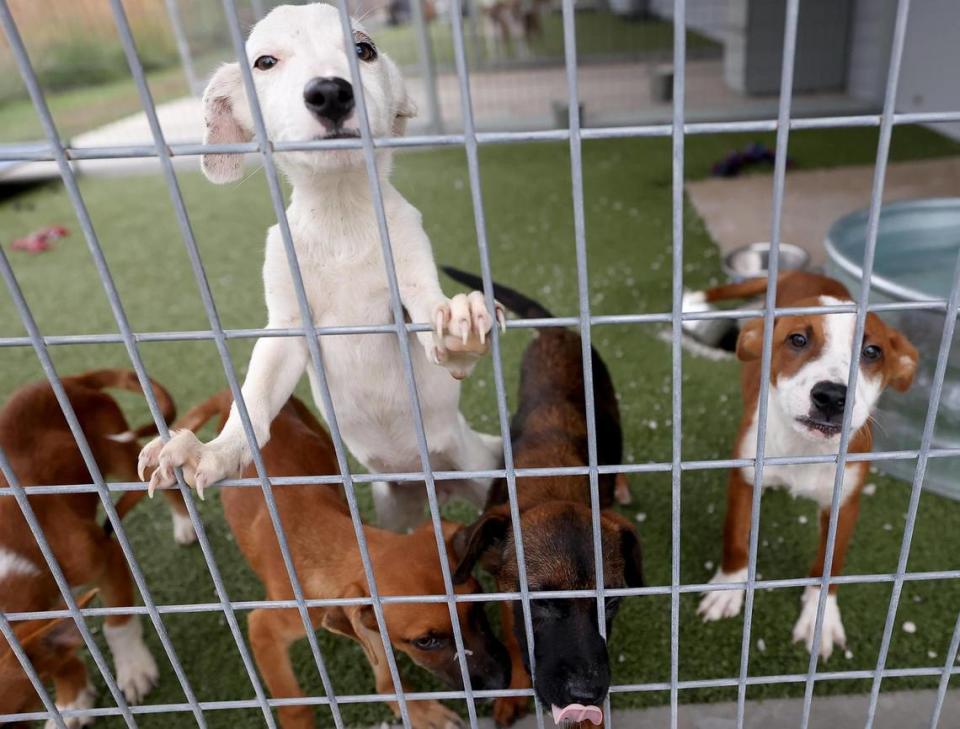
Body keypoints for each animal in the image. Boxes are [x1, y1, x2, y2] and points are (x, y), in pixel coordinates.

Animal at [0, 370, 189, 724]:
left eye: (16, 714)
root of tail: (70, 380)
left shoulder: (104, 555)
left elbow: (117, 623)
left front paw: (134, 669)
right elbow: (56, 656)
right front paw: (72, 702)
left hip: (119, 453)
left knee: (164, 483)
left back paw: (185, 524)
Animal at [144, 2, 502, 532]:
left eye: (364, 50)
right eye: (264, 62)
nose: (330, 91)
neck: (341, 220)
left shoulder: (410, 284)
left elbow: (429, 311)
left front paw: (460, 329)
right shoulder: (288, 330)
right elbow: (253, 401)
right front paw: (213, 451)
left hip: (483, 475)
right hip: (393, 505)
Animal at [157, 392, 512, 728]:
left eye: (479, 603)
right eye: (425, 641)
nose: (504, 680)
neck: (328, 546)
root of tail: (231, 392)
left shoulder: (363, 618)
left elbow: (384, 668)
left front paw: (415, 709)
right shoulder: (264, 628)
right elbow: (295, 703)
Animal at [444, 268, 644, 728]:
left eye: (613, 603)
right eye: (539, 603)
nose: (588, 695)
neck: (553, 480)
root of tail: (557, 331)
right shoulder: (504, 591)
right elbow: (515, 637)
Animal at [688, 272, 924, 660]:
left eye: (872, 352)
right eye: (797, 339)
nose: (832, 396)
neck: (806, 447)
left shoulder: (845, 504)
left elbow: (829, 565)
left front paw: (819, 618)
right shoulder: (745, 478)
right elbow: (735, 539)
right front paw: (729, 588)